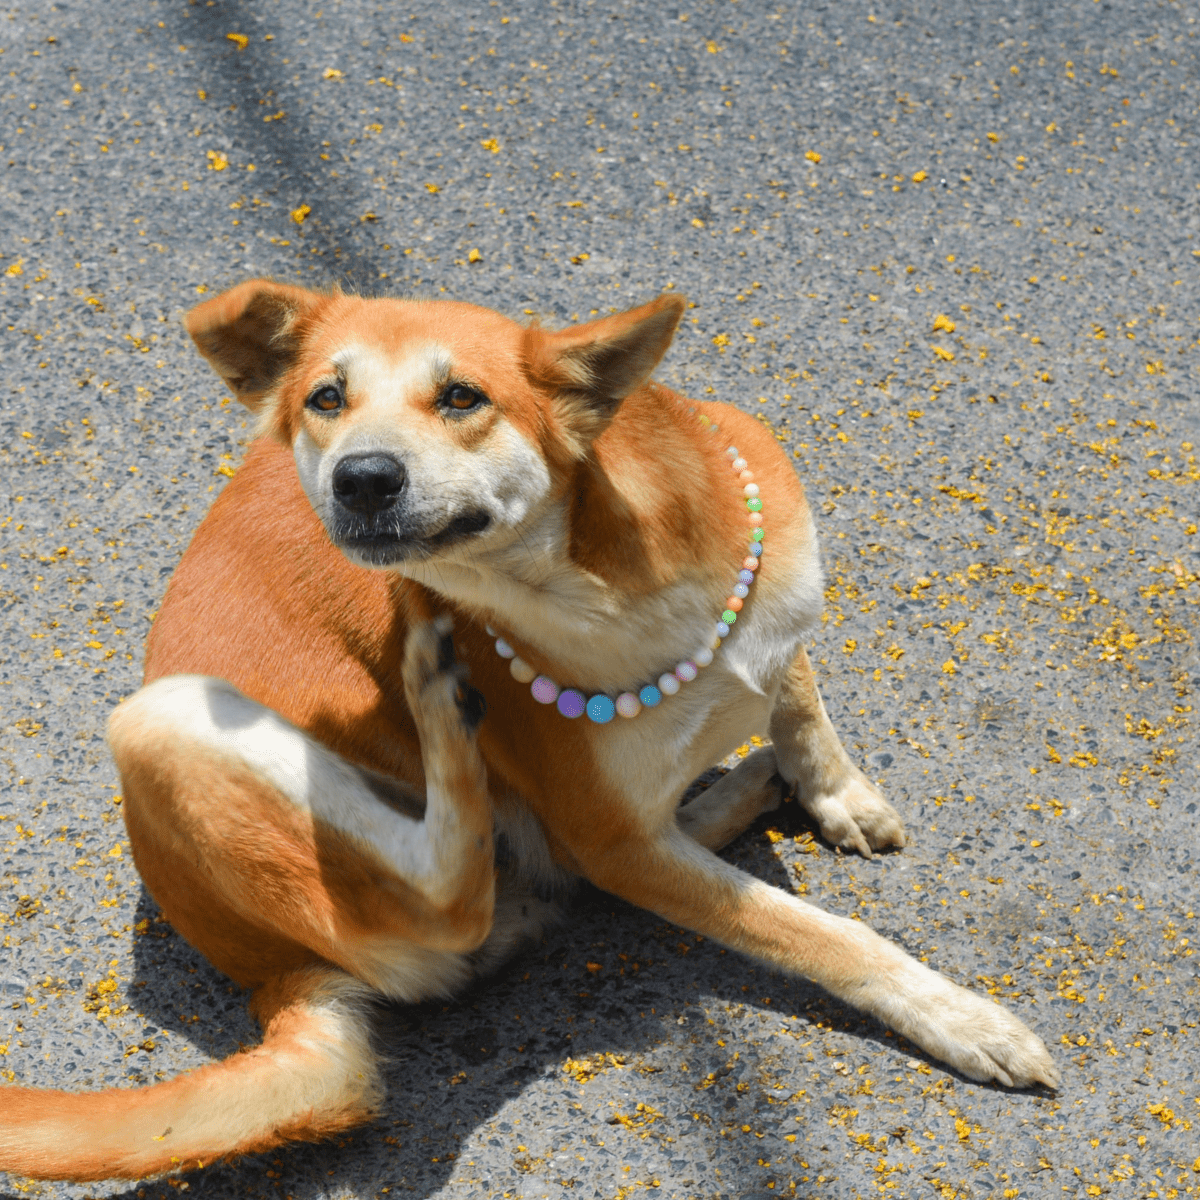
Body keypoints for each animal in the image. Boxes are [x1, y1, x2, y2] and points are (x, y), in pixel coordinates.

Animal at [0, 280, 1060, 1180]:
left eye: (462, 396)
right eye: (326, 399)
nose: (362, 479)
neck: (612, 594)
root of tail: (274, 979)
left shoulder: (770, 618)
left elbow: (796, 693)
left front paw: (832, 789)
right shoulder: (612, 831)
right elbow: (823, 935)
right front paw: (962, 1020)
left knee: (561, 879)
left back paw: (731, 792)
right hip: (166, 715)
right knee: (463, 891)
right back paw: (441, 700)